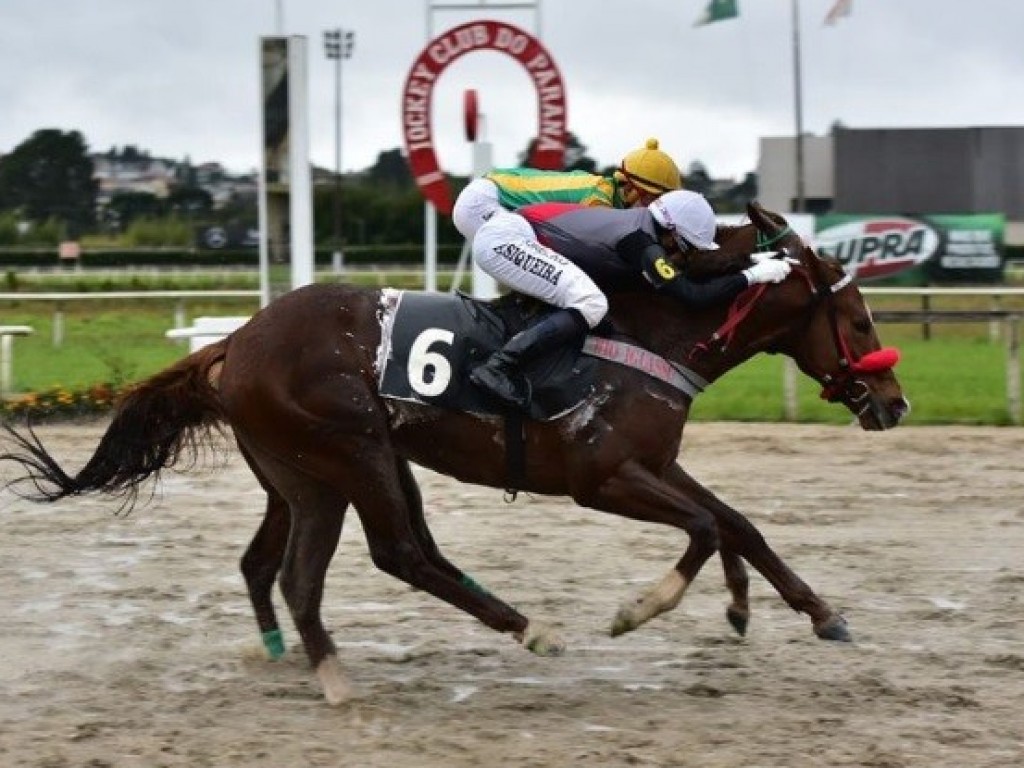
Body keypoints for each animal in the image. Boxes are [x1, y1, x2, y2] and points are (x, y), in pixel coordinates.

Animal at [0, 202, 913, 704]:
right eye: (859, 318)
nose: (895, 403)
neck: (647, 326)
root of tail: (236, 340)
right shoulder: (602, 477)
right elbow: (703, 528)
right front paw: (640, 610)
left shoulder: (652, 462)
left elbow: (737, 523)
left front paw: (811, 612)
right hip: (352, 453)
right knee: (386, 554)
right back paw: (473, 642)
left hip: (304, 474)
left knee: (283, 562)